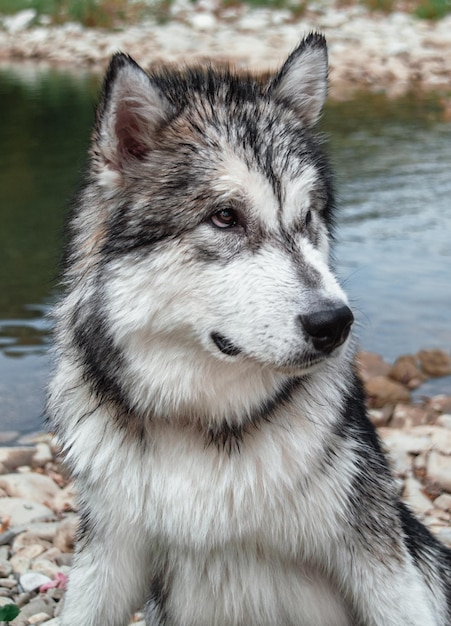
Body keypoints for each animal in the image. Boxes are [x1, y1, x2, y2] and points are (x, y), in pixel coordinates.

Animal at [48, 34, 451, 624]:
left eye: (308, 217)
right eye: (225, 217)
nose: (335, 323)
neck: (208, 426)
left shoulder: (377, 555)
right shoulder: (109, 554)